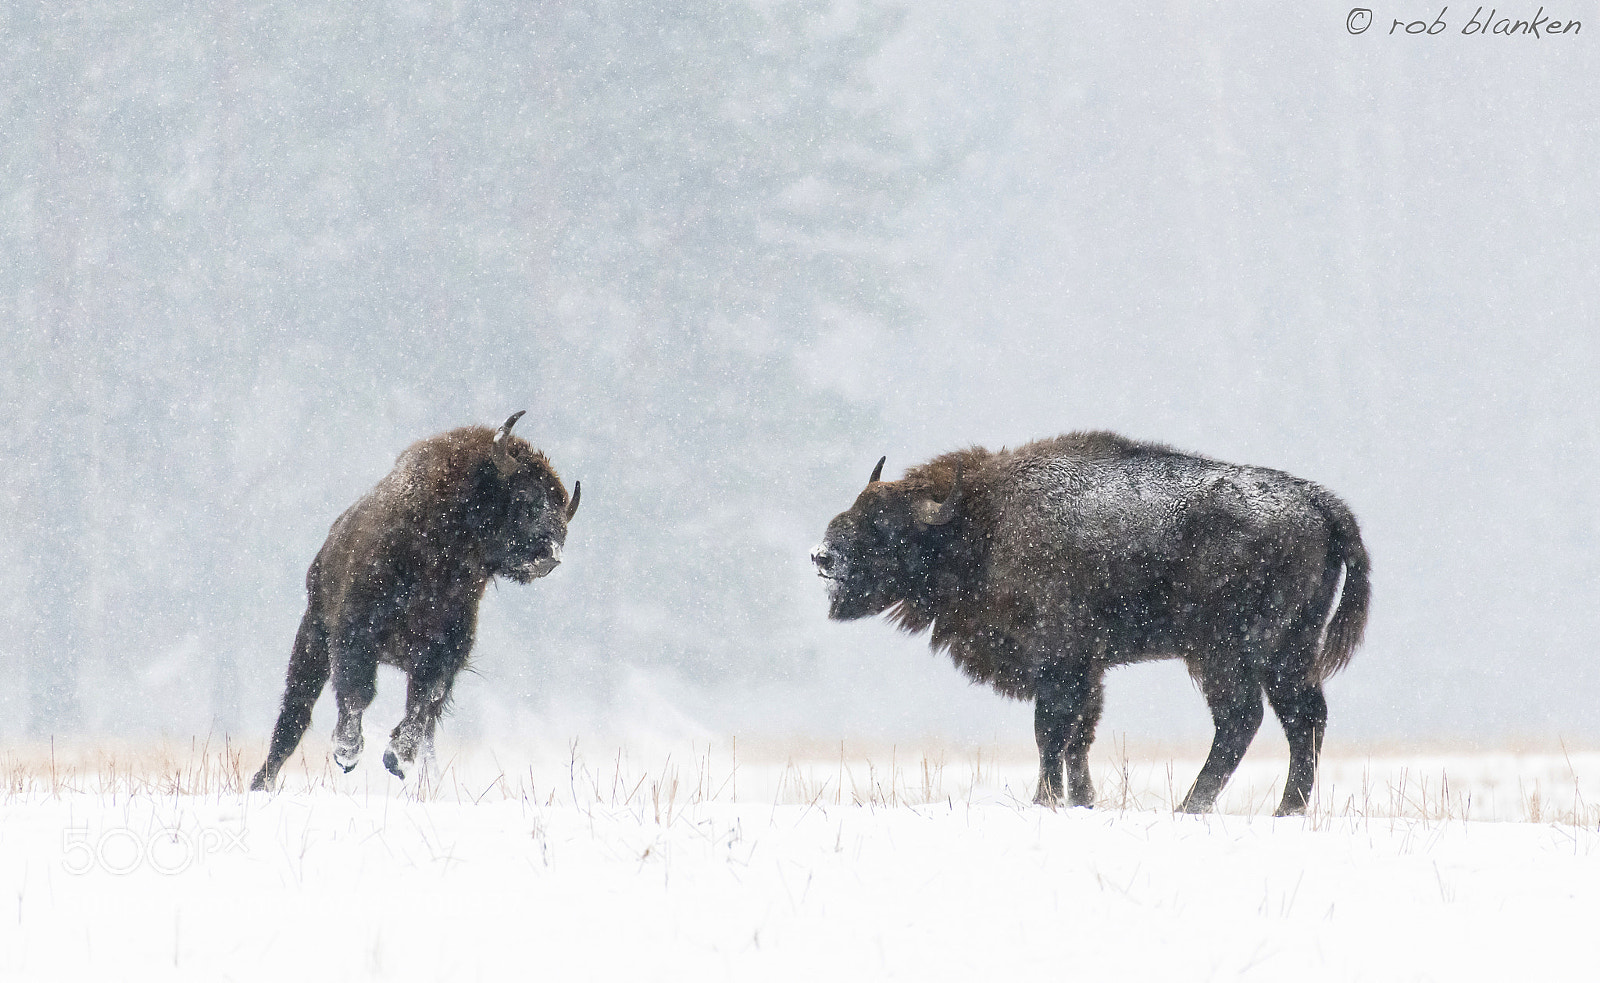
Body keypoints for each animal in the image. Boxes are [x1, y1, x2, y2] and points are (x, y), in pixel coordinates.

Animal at [250, 411, 579, 791]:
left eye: (560, 504)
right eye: (526, 498)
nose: (551, 555)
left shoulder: (444, 652)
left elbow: (423, 703)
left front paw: (398, 759)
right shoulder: (356, 633)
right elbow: (358, 692)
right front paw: (347, 752)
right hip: (312, 635)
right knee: (296, 711)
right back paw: (262, 781)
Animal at [812, 432, 1369, 816]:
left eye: (886, 525)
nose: (822, 556)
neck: (982, 522)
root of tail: (1319, 502)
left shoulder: (1059, 663)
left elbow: (1051, 732)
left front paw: (1045, 801)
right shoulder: (1088, 669)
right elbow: (1079, 735)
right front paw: (1082, 801)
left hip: (1226, 653)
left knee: (1242, 719)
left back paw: (1191, 806)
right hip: (1290, 653)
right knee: (1304, 718)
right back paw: (1285, 809)